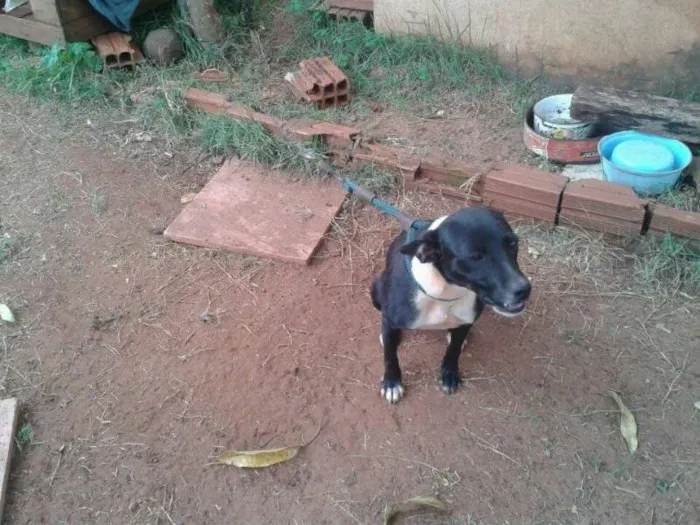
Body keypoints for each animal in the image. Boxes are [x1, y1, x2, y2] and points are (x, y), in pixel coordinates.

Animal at [372, 207, 532, 404]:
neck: (446, 291)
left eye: (513, 243)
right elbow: (390, 356)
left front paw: (449, 374)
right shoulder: (390, 318)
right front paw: (392, 383)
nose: (524, 289)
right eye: (475, 256)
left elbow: (453, 351)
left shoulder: (465, 321)